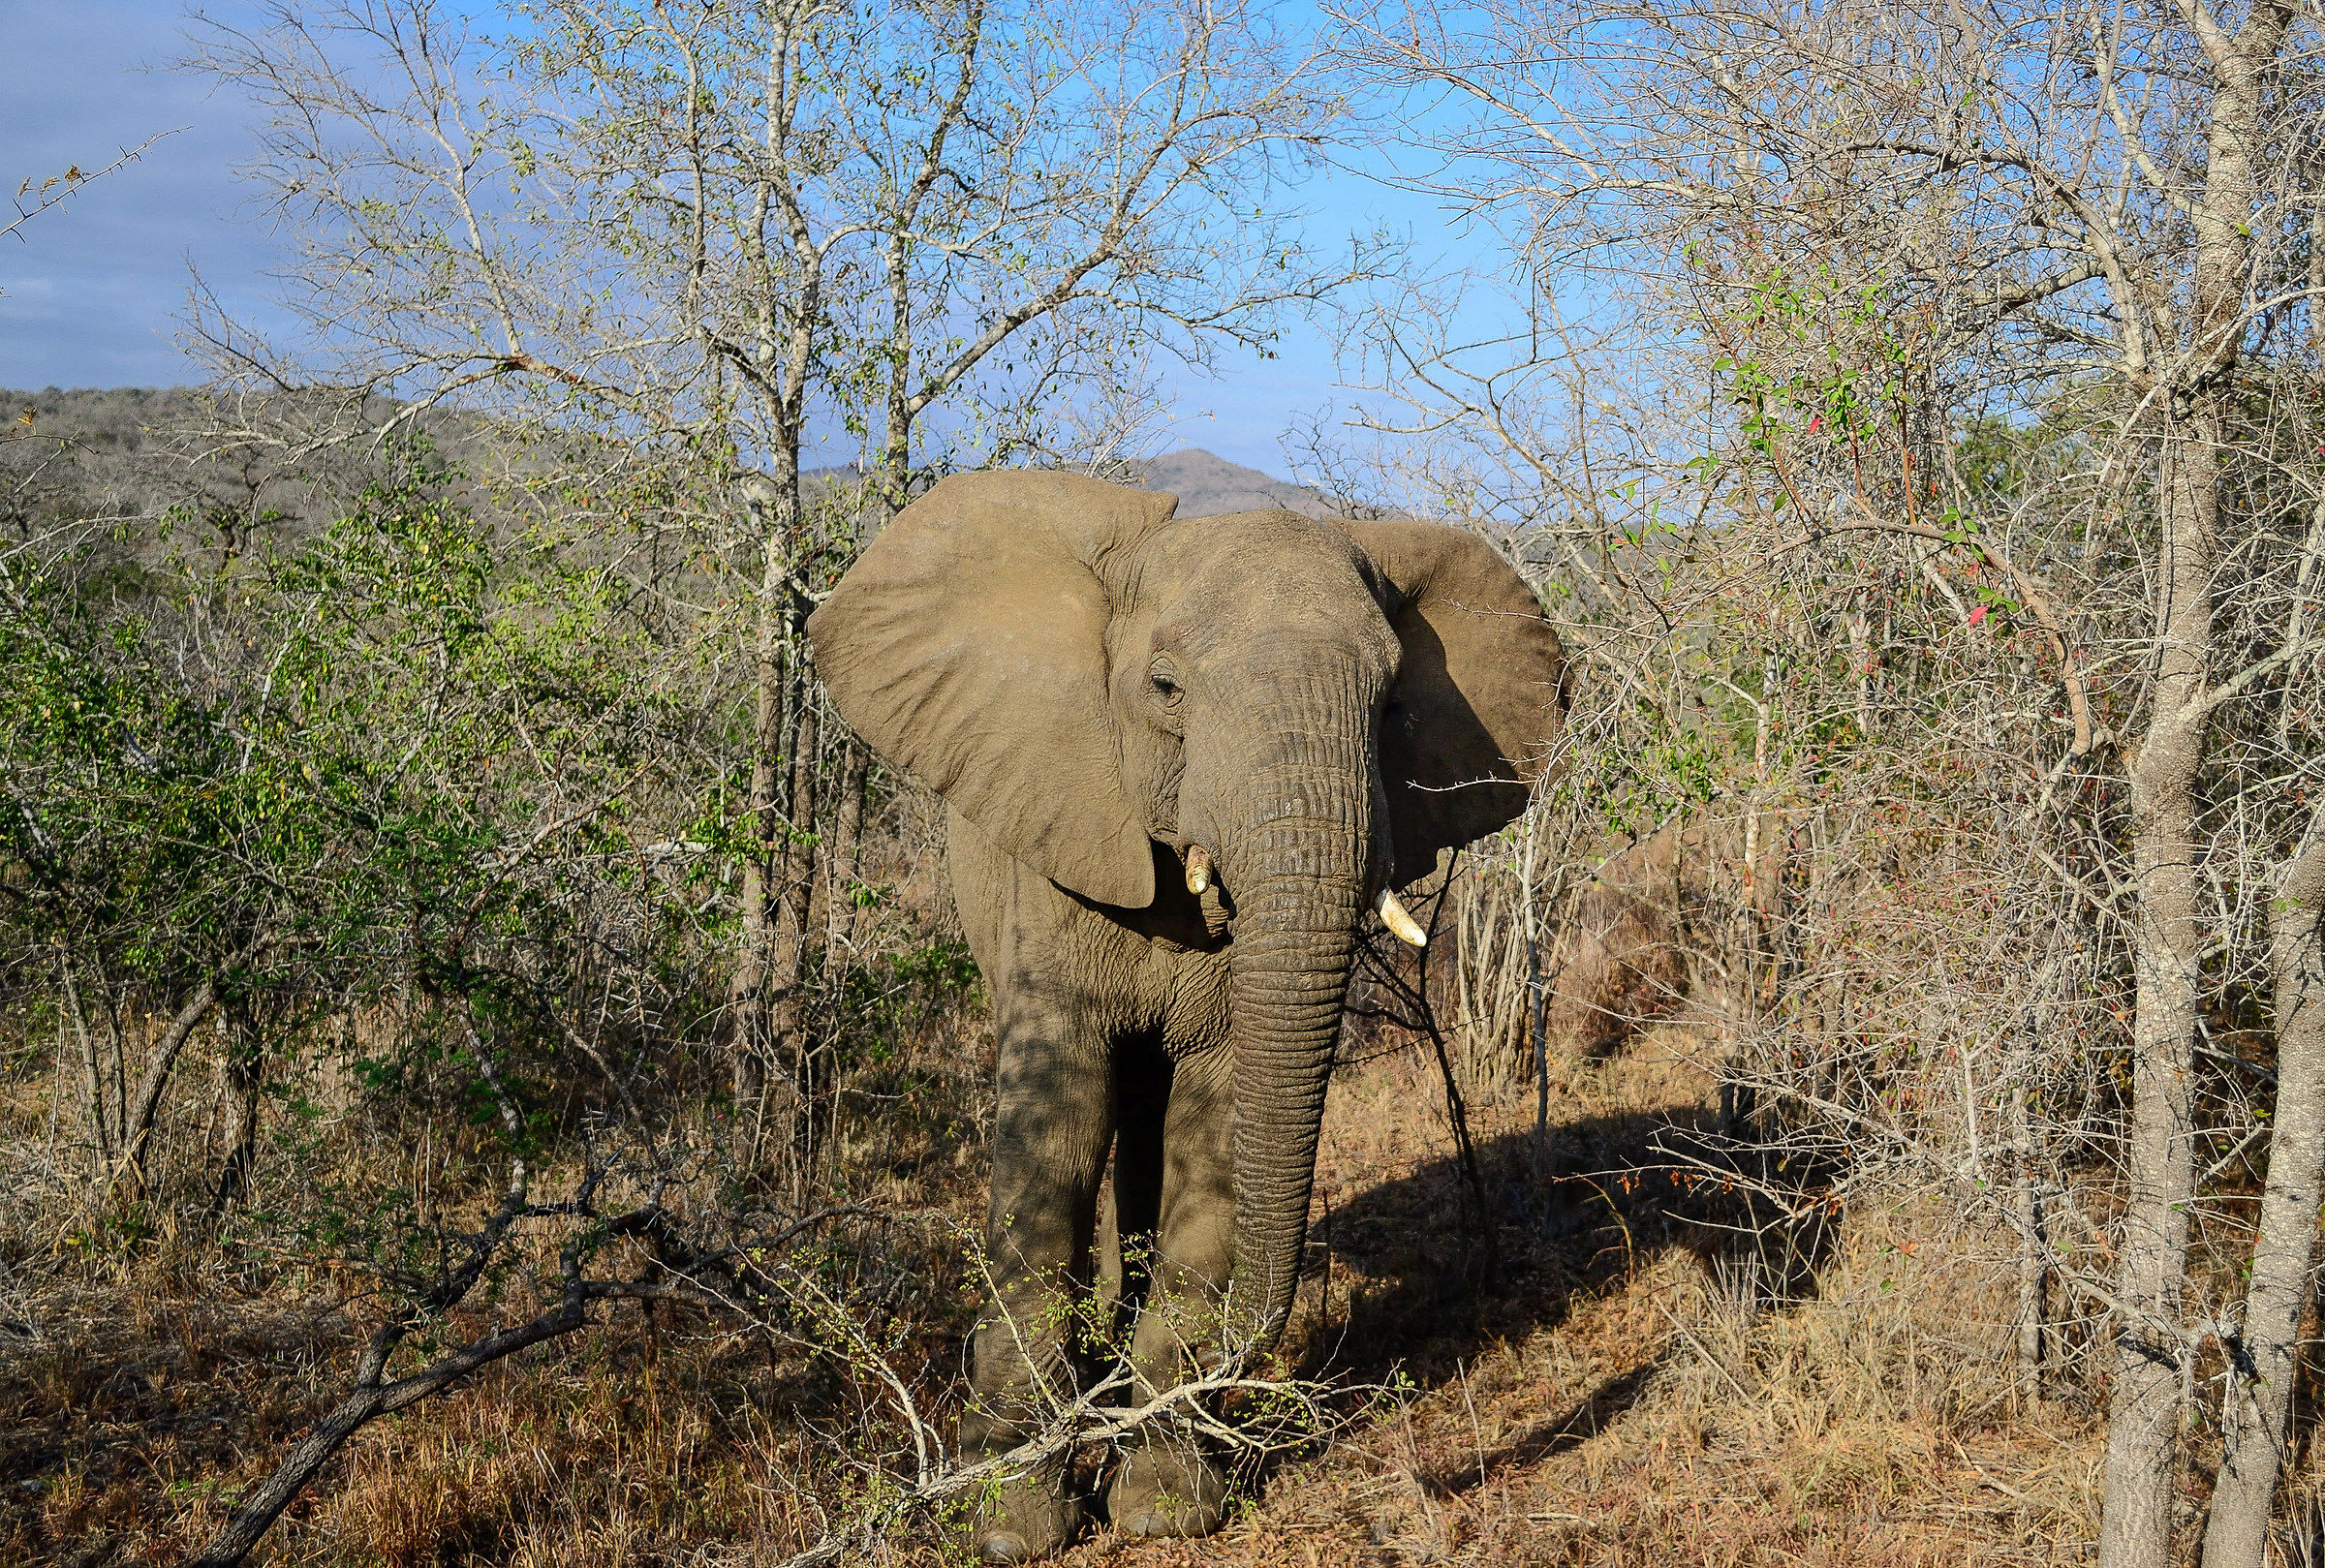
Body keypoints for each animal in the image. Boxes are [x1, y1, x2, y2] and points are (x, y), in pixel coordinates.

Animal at [806, 471, 1565, 1560]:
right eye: (1166, 688)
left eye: (1391, 705)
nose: (1239, 1370)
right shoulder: (1058, 843)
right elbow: (1060, 1120)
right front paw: (1010, 1524)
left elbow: (1215, 1116)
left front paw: (1167, 1506)